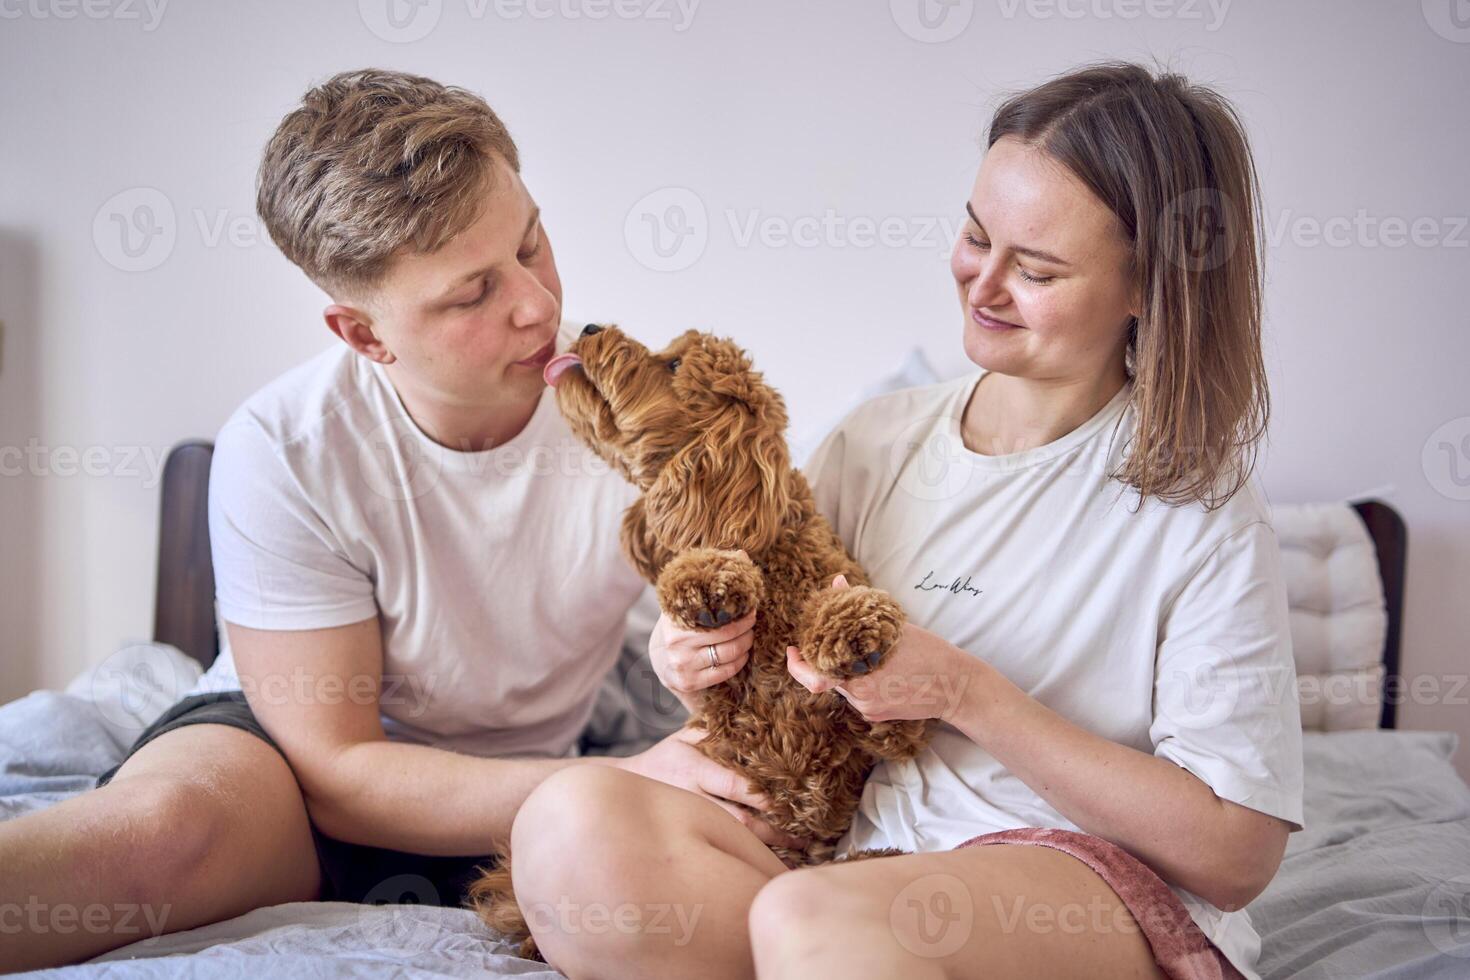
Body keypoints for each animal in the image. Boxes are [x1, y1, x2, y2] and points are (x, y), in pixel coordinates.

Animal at [470, 321, 929, 957]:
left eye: (672, 365)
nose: (588, 326)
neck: (773, 550)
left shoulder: (880, 734)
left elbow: (893, 703)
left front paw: (851, 625)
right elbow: (696, 569)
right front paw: (708, 578)